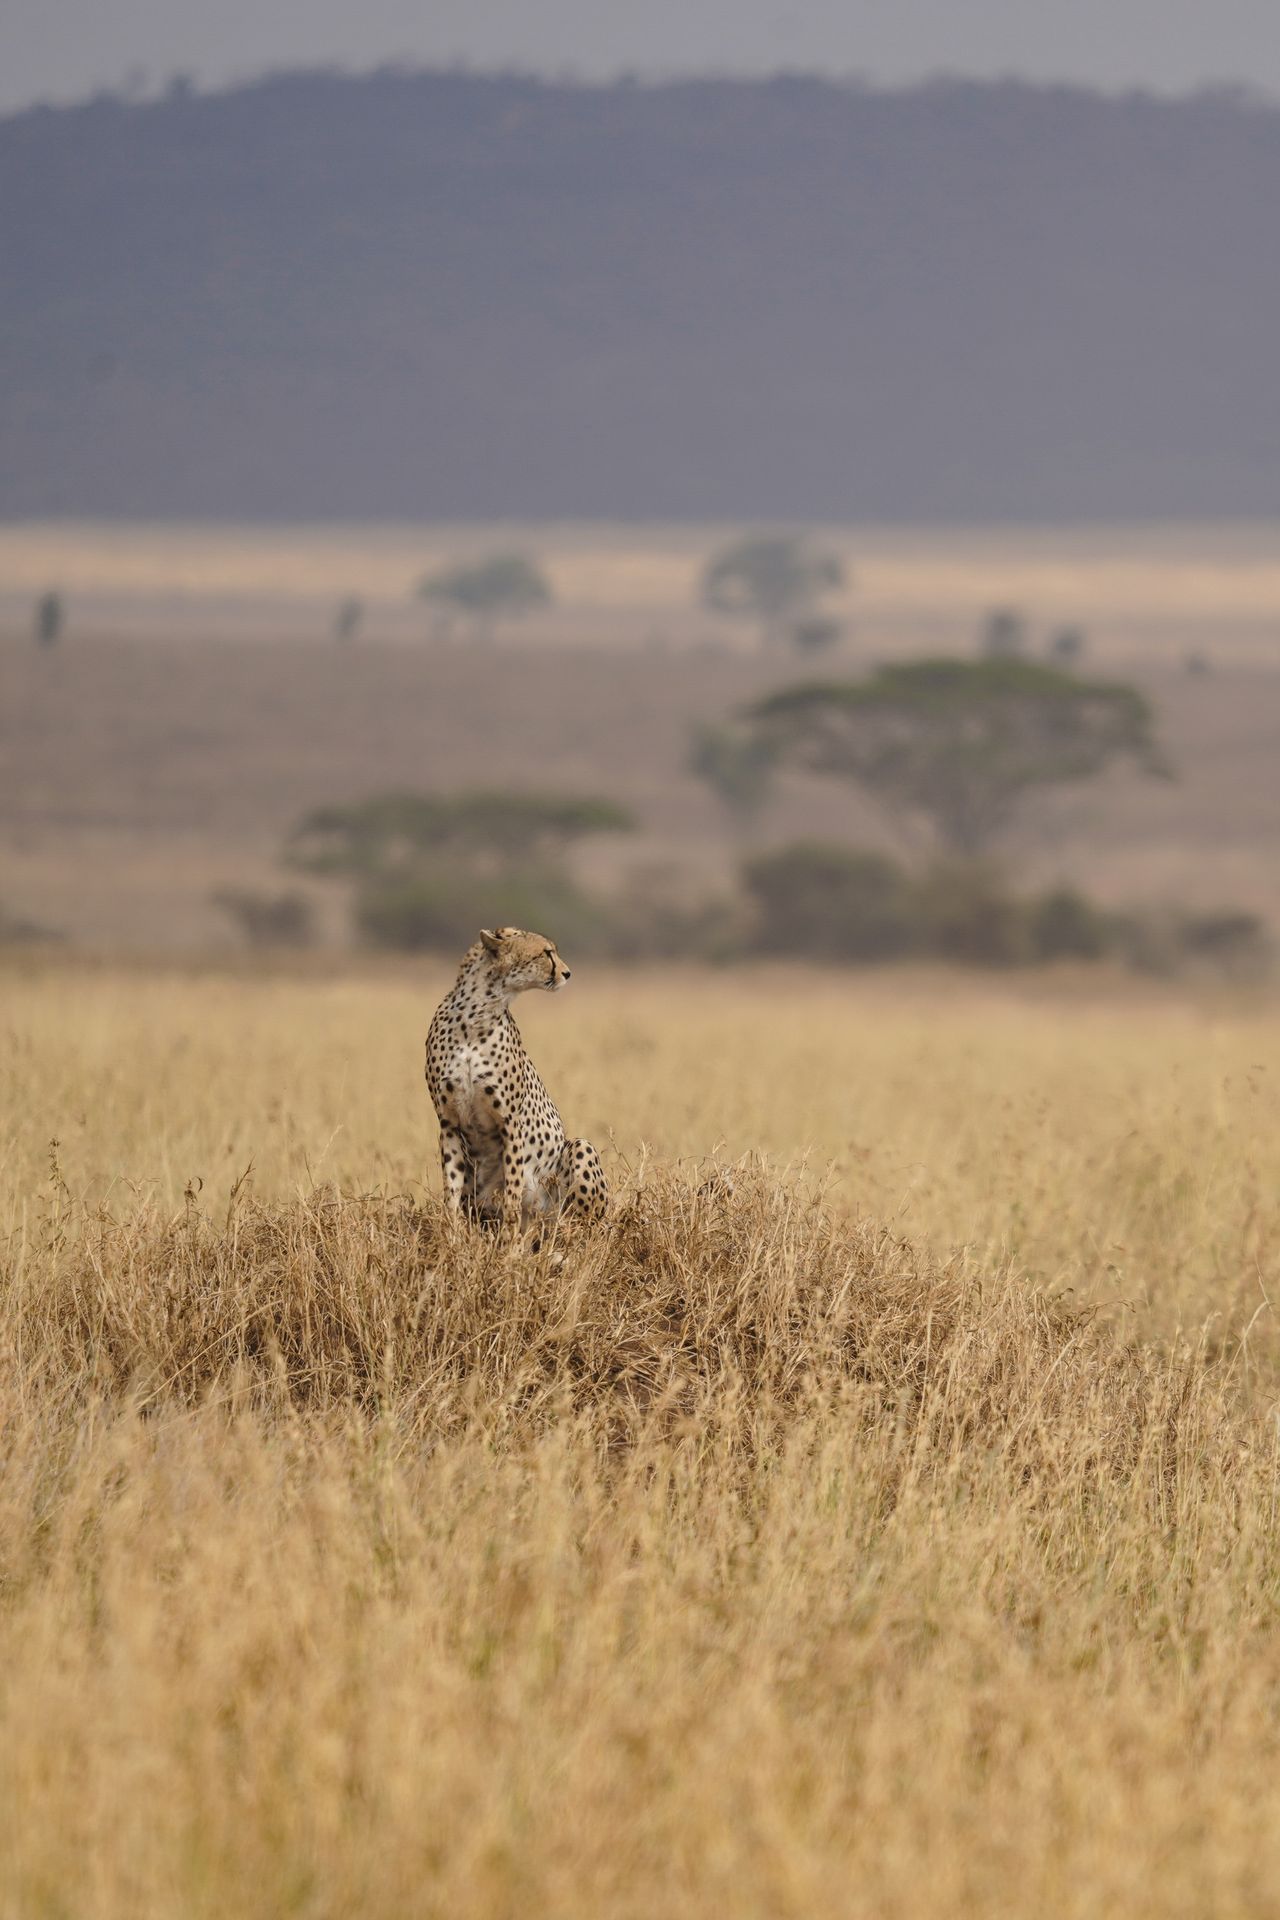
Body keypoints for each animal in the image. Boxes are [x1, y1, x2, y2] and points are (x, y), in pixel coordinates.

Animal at [424, 926, 608, 1230]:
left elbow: (512, 1195)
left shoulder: (510, 1122)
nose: (568, 973)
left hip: (578, 1152)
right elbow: (451, 1191)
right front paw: (451, 1236)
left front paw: (509, 1243)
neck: (477, 1014)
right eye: (546, 952)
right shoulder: (448, 1122)